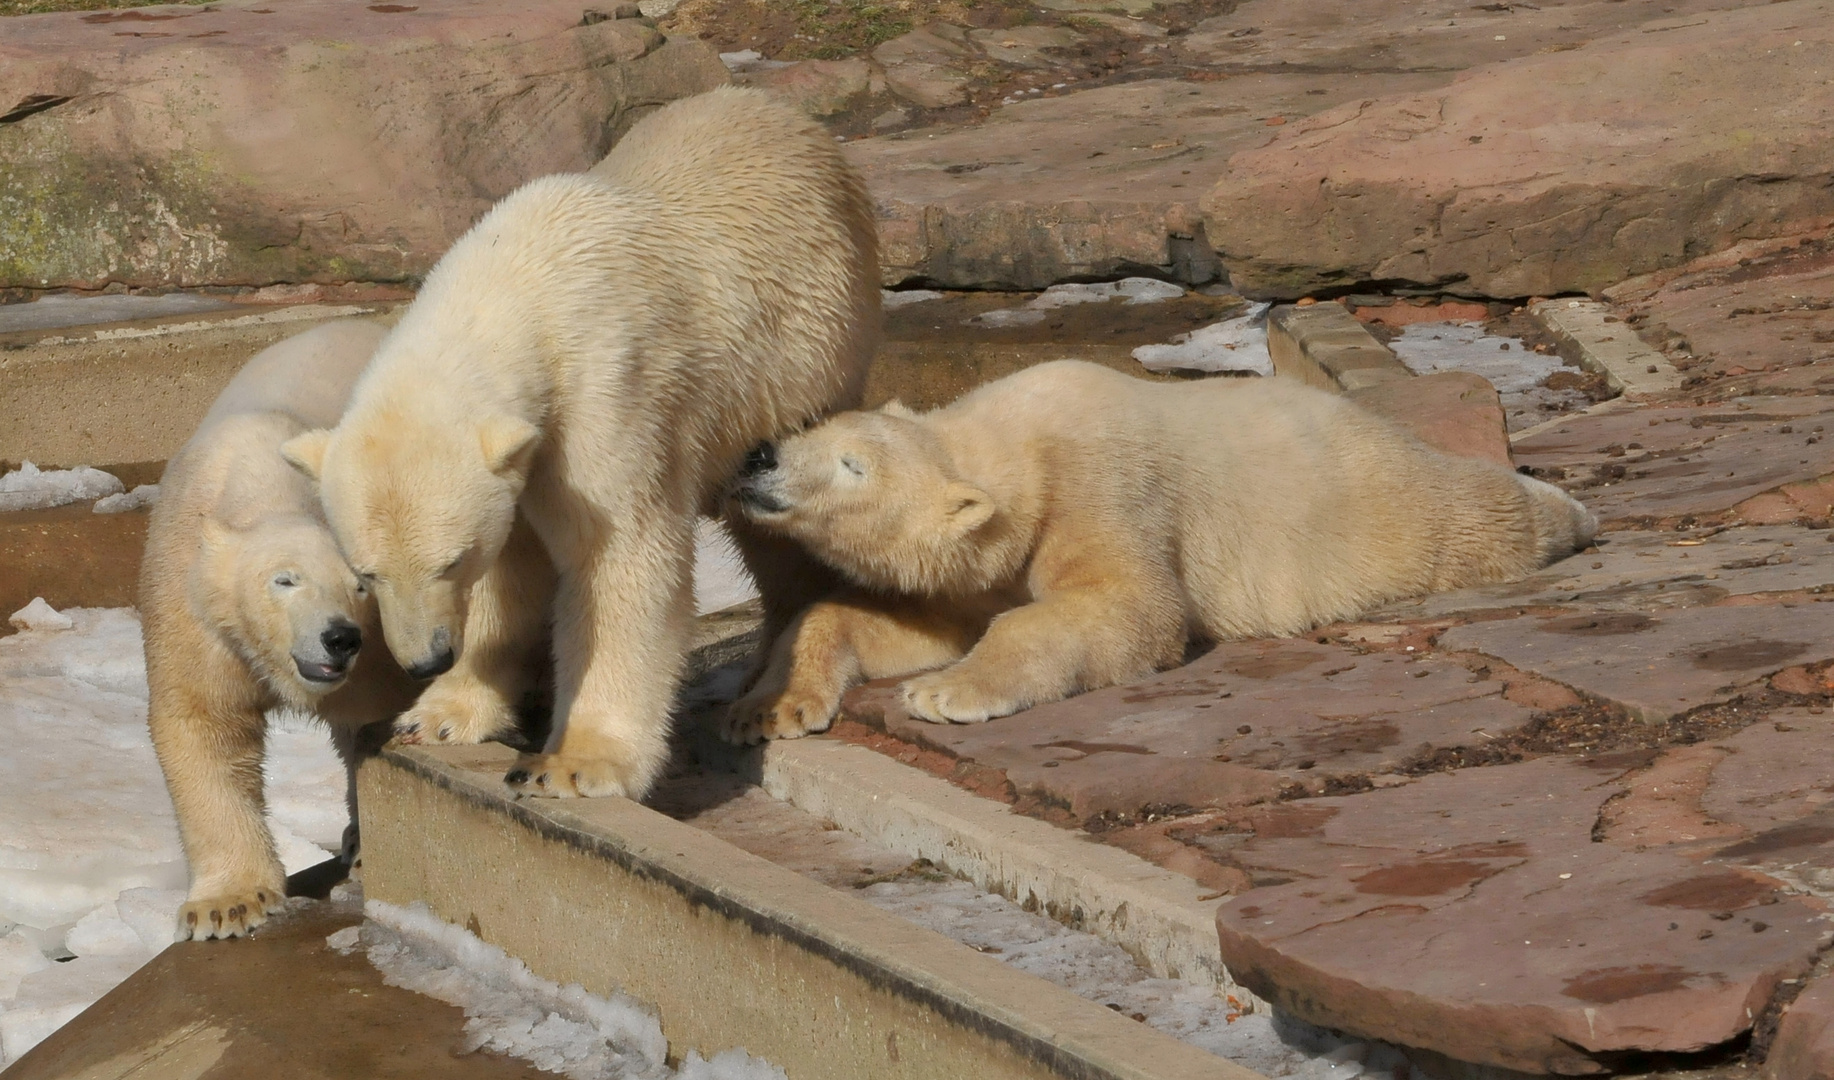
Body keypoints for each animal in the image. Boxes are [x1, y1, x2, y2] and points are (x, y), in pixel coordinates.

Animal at [278, 86, 880, 799]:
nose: (426, 659)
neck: (516, 283)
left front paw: (574, 763)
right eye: (366, 574)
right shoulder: (525, 456)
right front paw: (438, 714)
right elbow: (511, 565)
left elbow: (618, 556)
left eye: (449, 562)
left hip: (804, 363)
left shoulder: (607, 393)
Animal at [722, 357, 1599, 737]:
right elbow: (898, 622)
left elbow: (1127, 607)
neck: (1017, 450)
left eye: (851, 463)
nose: (758, 455)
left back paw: (1571, 515)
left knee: (1464, 519)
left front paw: (946, 693)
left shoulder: (1100, 486)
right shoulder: (974, 572)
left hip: (1369, 505)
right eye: (810, 429)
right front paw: (769, 710)